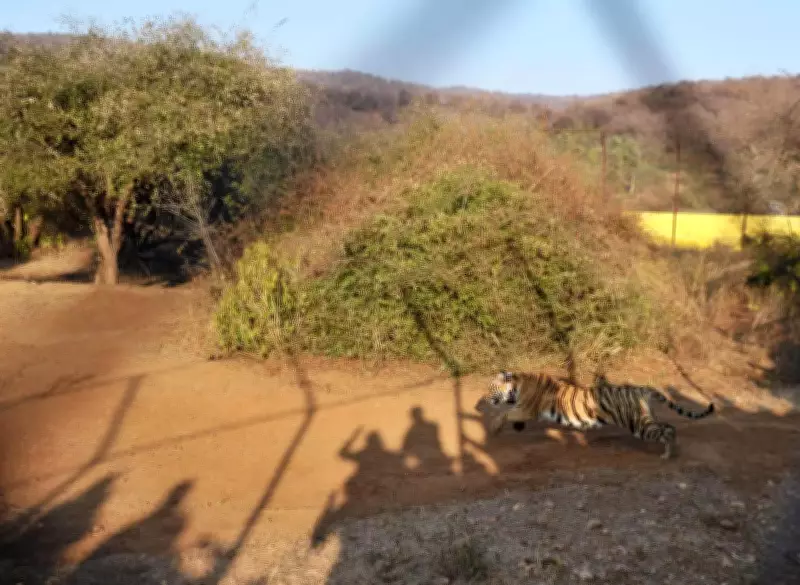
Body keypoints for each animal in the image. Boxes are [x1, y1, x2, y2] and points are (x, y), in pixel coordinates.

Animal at [473, 370, 715, 459]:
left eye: (490, 389)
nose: (479, 402)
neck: (517, 386)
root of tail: (640, 389)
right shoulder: (523, 410)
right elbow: (510, 414)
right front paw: (513, 428)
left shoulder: (526, 409)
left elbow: (505, 413)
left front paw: (494, 427)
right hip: (646, 418)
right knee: (668, 426)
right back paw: (672, 451)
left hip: (639, 424)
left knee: (666, 430)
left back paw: (668, 454)